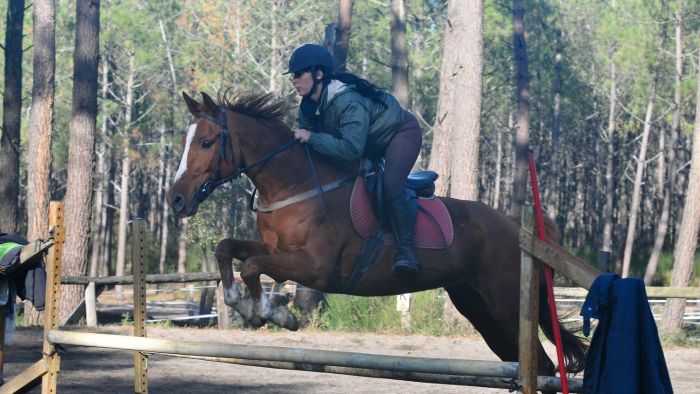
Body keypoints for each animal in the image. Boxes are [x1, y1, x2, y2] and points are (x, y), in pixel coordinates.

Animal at [164, 91, 584, 378]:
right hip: (477, 306)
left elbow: (251, 266)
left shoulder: (315, 268)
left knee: (543, 365)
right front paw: (242, 303)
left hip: (505, 304)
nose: (176, 199)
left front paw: (271, 313)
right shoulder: (274, 249)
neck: (295, 185)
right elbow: (228, 249)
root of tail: (516, 225)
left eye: (206, 142)